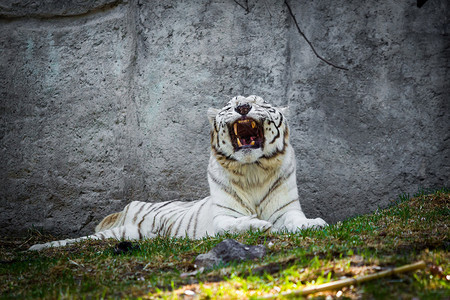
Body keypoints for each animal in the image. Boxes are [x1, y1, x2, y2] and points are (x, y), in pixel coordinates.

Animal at [30, 96, 326, 251]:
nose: (243, 108)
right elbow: (233, 224)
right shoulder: (222, 217)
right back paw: (37, 247)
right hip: (120, 232)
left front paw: (314, 223)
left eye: (258, 102)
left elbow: (297, 221)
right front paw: (258, 225)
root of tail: (127, 206)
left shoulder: (287, 210)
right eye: (230, 106)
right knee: (80, 239)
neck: (252, 170)